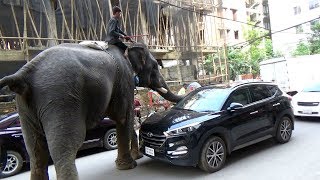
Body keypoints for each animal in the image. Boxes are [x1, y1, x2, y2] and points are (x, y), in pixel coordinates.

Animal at [0, 43, 181, 179]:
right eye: (155, 67)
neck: (126, 47)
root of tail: (23, 74)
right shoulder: (124, 81)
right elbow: (123, 117)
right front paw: (129, 165)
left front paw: (136, 157)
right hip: (61, 98)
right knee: (65, 146)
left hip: (25, 107)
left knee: (35, 150)